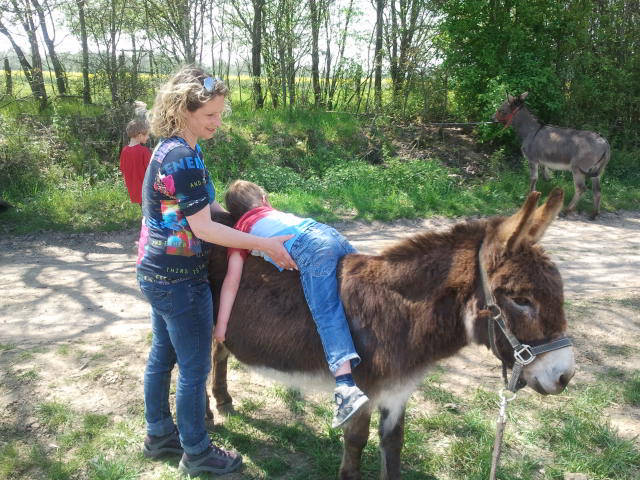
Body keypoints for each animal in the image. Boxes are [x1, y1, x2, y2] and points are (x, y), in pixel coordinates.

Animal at [206, 188, 575, 479]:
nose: (565, 376)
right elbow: (355, 446)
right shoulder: (364, 391)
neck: (400, 315)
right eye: (521, 299)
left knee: (217, 351)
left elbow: (394, 446)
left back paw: (222, 400)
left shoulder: (398, 393)